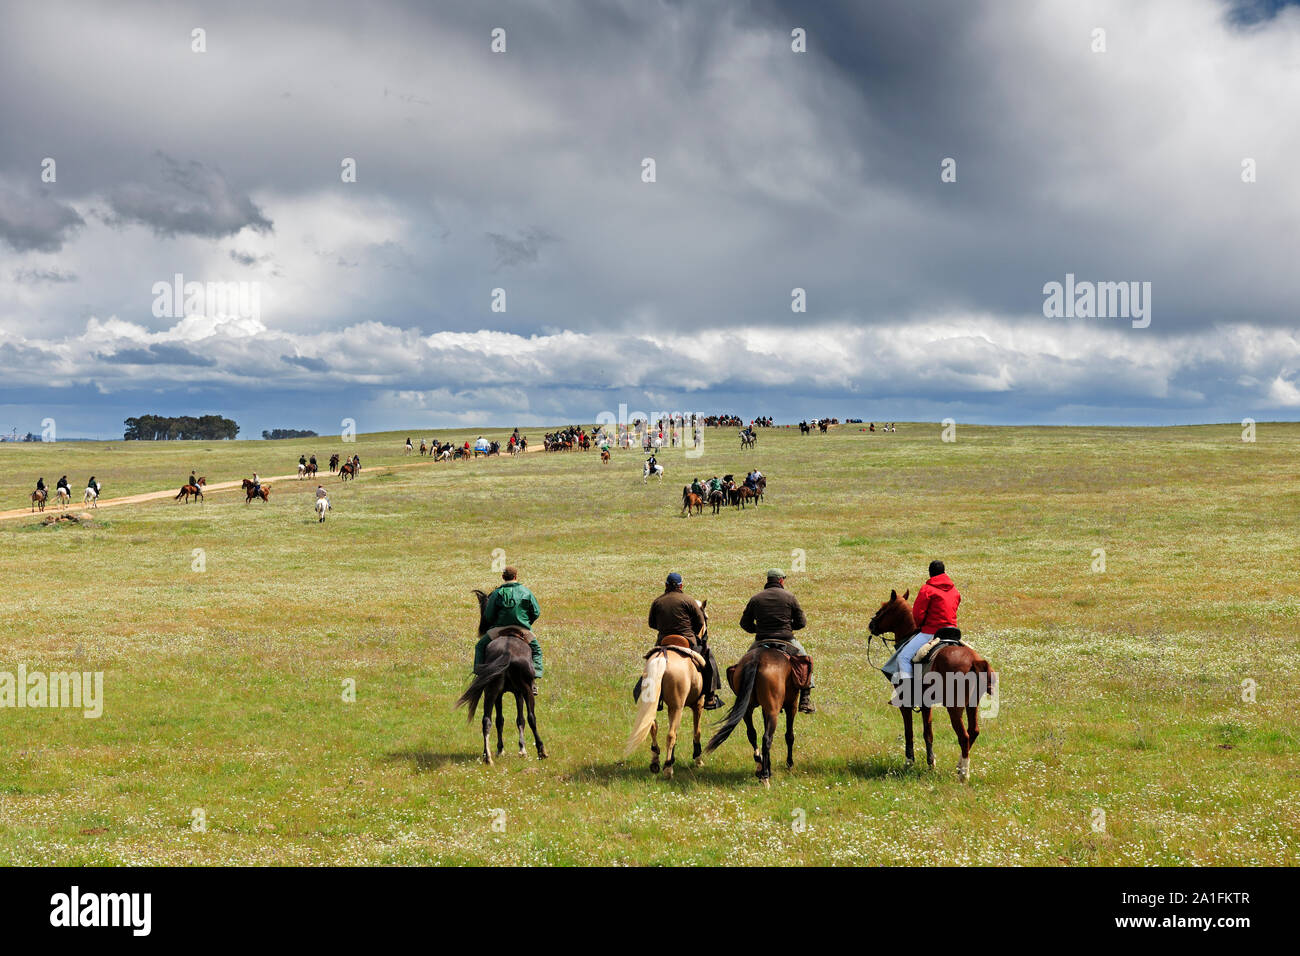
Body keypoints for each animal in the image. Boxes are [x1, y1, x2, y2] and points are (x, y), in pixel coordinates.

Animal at [454, 587, 546, 764]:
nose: (482, 628)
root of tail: (507, 652)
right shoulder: (518, 693)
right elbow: (520, 719)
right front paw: (521, 749)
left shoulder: (501, 694)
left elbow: (501, 720)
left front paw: (502, 749)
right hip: (524, 690)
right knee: (532, 717)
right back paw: (541, 751)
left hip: (491, 690)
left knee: (487, 720)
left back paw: (487, 756)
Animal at [621, 608, 712, 780]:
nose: (704, 637)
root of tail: (662, 656)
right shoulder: (698, 704)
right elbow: (696, 731)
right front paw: (698, 759)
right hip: (677, 707)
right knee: (670, 735)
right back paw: (668, 768)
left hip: (652, 704)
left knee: (652, 726)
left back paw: (656, 761)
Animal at [702, 642, 800, 785]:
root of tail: (757, 659)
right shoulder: (791, 706)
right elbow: (789, 736)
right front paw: (789, 764)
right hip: (773, 711)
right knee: (767, 738)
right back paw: (765, 776)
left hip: (747, 709)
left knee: (752, 734)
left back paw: (760, 766)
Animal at [868, 587, 998, 780]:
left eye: (884, 608)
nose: (872, 624)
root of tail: (974, 661)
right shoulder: (925, 704)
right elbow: (928, 733)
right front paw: (931, 763)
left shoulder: (905, 705)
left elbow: (909, 732)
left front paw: (909, 762)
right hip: (972, 704)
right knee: (973, 731)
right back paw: (959, 766)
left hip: (954, 707)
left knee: (964, 736)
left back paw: (963, 774)